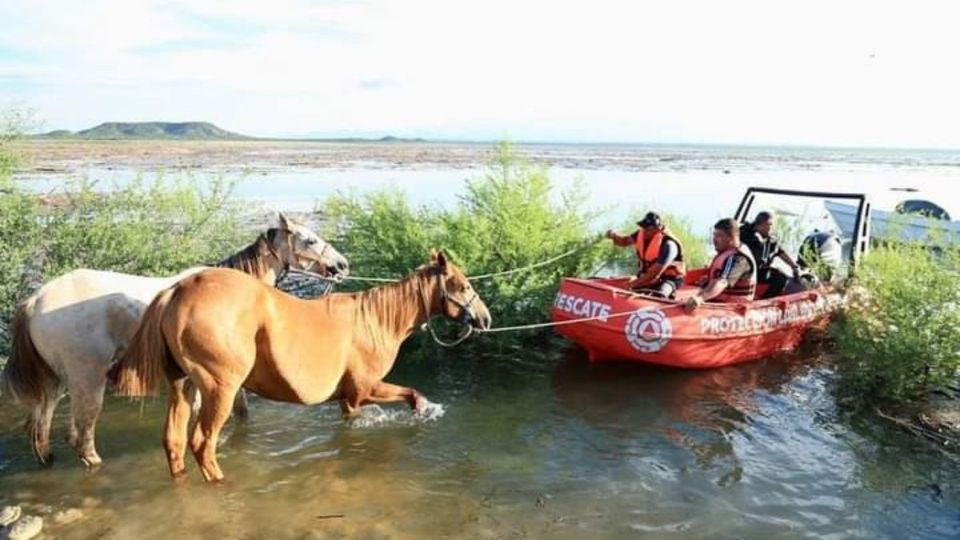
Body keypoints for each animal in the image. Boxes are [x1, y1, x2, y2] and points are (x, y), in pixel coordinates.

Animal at [1, 213, 346, 466]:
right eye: (310, 239)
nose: (342, 265)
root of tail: (35, 301)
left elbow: (238, 411)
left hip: (57, 381)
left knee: (41, 427)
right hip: (87, 378)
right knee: (81, 434)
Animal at [110, 251, 488, 484]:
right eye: (464, 285)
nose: (485, 319)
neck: (375, 320)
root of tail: (177, 290)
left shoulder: (348, 400)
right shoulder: (365, 389)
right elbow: (413, 394)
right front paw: (424, 412)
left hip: (182, 386)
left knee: (173, 441)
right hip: (221, 389)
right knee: (202, 443)